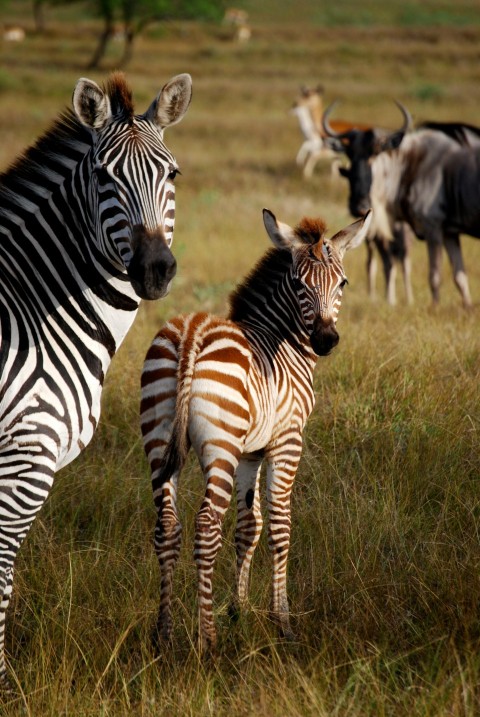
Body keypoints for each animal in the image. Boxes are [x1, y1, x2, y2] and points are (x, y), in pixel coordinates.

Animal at [0, 71, 192, 691]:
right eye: (105, 178)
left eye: (172, 175)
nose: (155, 270)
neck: (34, 311)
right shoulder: (26, 454)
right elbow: (2, 568)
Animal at [140, 207, 371, 651]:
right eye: (298, 283)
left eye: (343, 283)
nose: (326, 340)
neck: (284, 342)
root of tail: (192, 333)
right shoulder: (287, 441)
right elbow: (279, 525)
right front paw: (282, 621)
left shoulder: (251, 451)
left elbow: (249, 526)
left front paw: (239, 609)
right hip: (220, 448)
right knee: (205, 527)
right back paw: (207, 641)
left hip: (160, 441)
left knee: (167, 527)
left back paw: (164, 634)